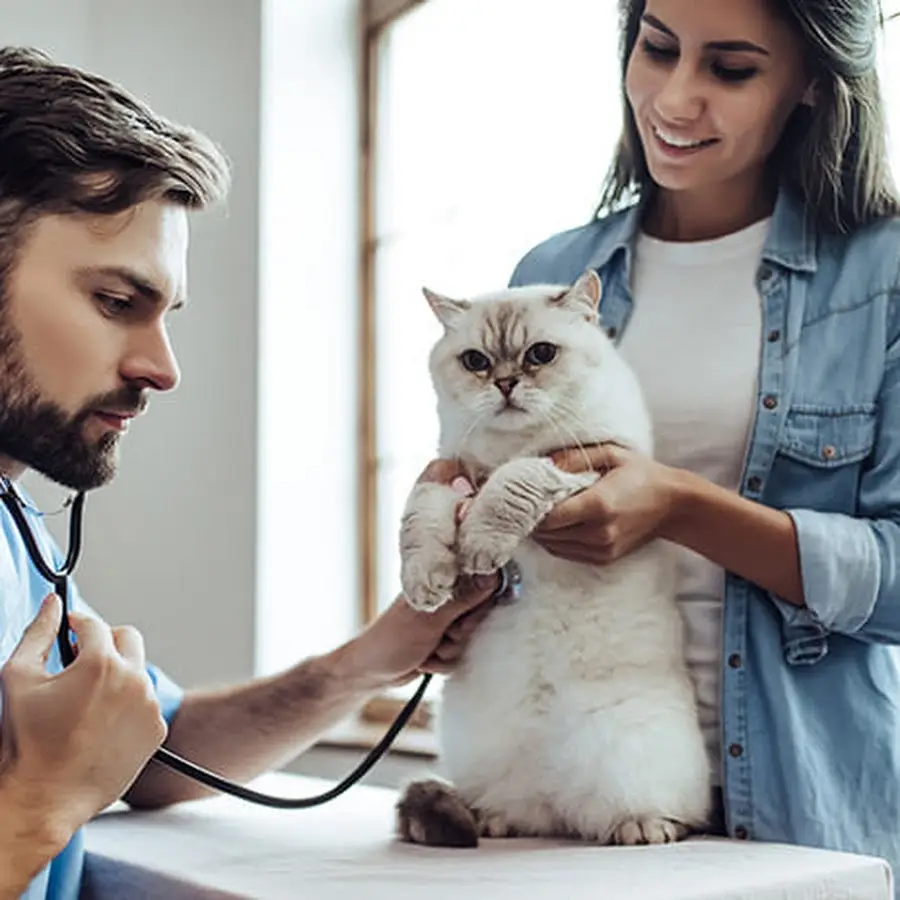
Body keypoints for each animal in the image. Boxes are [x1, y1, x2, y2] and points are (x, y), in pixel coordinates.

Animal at [398, 270, 712, 848]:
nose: (505, 383)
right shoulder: (448, 473)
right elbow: (422, 521)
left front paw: (479, 546)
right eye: (476, 361)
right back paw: (495, 820)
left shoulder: (577, 467)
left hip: (636, 751)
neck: (512, 443)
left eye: (539, 354)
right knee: (527, 813)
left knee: (665, 816)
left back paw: (640, 827)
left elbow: (511, 484)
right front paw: (429, 583)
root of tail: (562, 804)